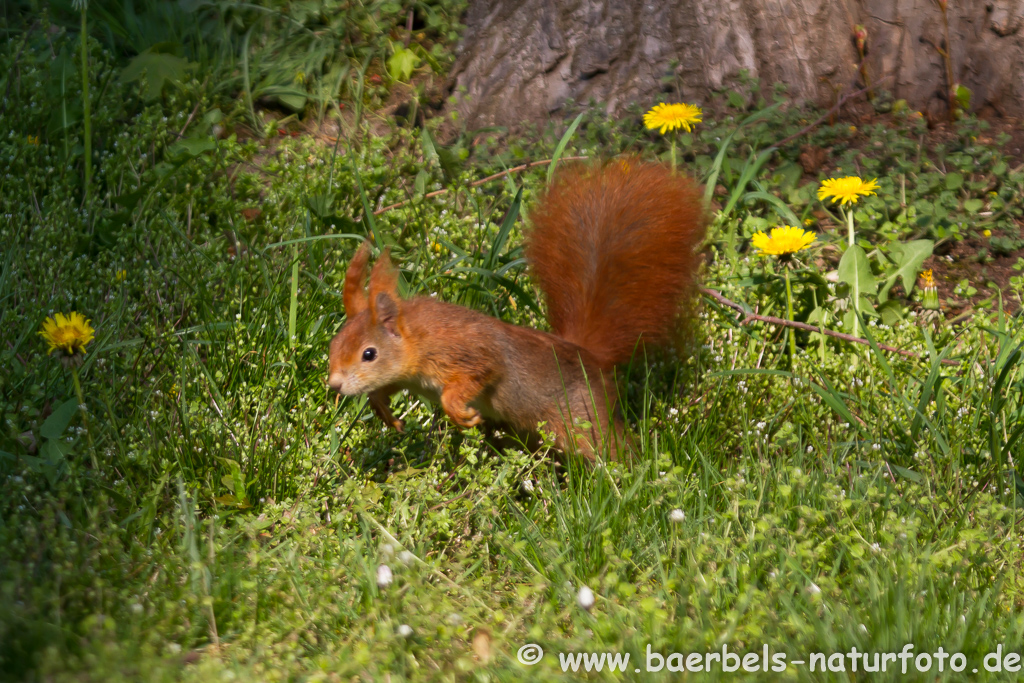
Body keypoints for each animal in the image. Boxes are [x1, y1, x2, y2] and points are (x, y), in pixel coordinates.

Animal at [327, 160, 704, 458]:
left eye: (369, 354)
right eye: (333, 345)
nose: (334, 385)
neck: (418, 338)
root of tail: (589, 355)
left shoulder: (469, 352)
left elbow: (479, 373)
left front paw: (457, 411)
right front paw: (382, 409)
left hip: (581, 419)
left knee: (610, 448)